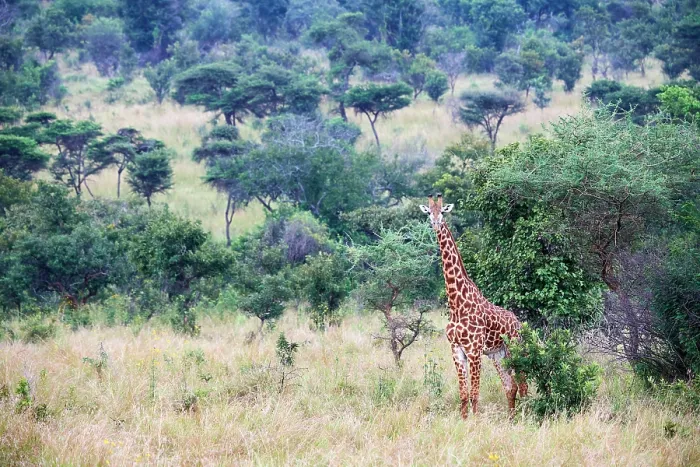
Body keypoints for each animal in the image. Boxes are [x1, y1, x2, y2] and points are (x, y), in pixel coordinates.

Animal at [420, 194, 527, 418]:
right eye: (429, 212)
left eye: (443, 212)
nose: (435, 223)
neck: (457, 303)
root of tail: (519, 323)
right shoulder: (457, 350)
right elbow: (463, 395)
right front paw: (464, 421)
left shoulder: (474, 350)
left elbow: (475, 395)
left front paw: (475, 423)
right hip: (498, 354)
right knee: (510, 386)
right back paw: (511, 419)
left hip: (514, 348)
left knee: (523, 384)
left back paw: (525, 417)